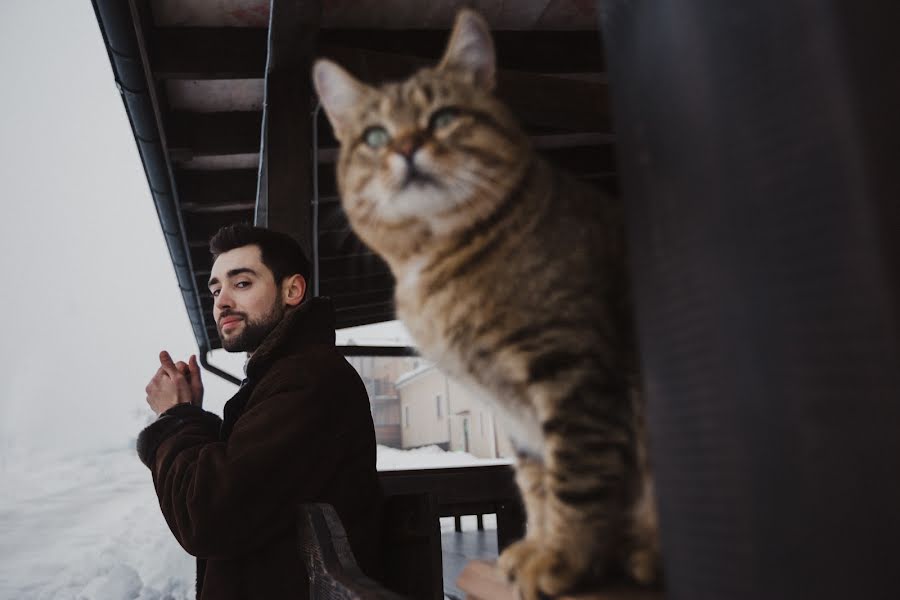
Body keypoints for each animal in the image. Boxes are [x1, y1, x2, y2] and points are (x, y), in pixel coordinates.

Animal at [312, 9, 656, 600]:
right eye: (376, 135)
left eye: (444, 116)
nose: (405, 148)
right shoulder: (516, 409)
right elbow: (538, 482)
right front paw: (538, 549)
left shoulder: (571, 367)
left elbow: (576, 476)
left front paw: (564, 559)